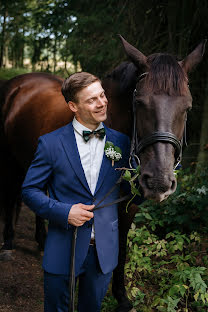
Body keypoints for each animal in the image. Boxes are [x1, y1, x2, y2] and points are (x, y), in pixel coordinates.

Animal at [0, 36, 205, 310]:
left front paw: (122, 297)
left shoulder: (129, 205)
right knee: (12, 195)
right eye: (139, 103)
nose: (159, 182)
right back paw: (9, 243)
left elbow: (120, 248)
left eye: (188, 107)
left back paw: (42, 241)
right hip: (9, 161)